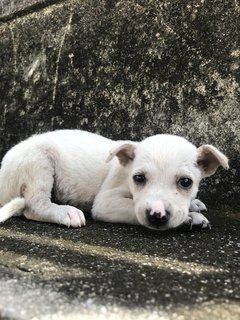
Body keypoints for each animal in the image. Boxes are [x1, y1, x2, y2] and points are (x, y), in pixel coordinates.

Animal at [0, 129, 229, 230]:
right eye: (139, 178)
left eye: (186, 182)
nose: (157, 215)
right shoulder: (106, 203)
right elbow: (133, 209)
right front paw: (189, 217)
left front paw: (193, 206)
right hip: (39, 161)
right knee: (33, 206)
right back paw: (65, 212)